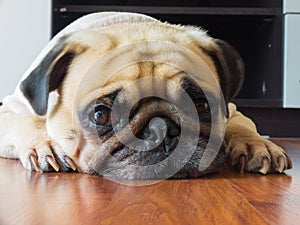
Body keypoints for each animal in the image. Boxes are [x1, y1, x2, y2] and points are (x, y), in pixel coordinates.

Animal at [0, 11, 292, 179]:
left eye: (201, 105)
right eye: (101, 115)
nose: (161, 129)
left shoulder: (232, 110)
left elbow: (242, 125)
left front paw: (256, 144)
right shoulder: (10, 110)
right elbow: (28, 122)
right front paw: (45, 144)